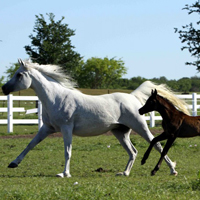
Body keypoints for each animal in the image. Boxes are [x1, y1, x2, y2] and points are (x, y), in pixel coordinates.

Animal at [1, 59, 178, 177]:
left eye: (19, 74)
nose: (4, 88)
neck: (56, 98)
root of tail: (132, 97)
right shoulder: (47, 128)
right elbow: (30, 144)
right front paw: (13, 163)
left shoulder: (66, 128)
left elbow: (67, 151)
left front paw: (64, 173)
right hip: (120, 132)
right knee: (133, 151)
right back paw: (124, 173)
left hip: (140, 127)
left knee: (157, 145)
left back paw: (173, 170)